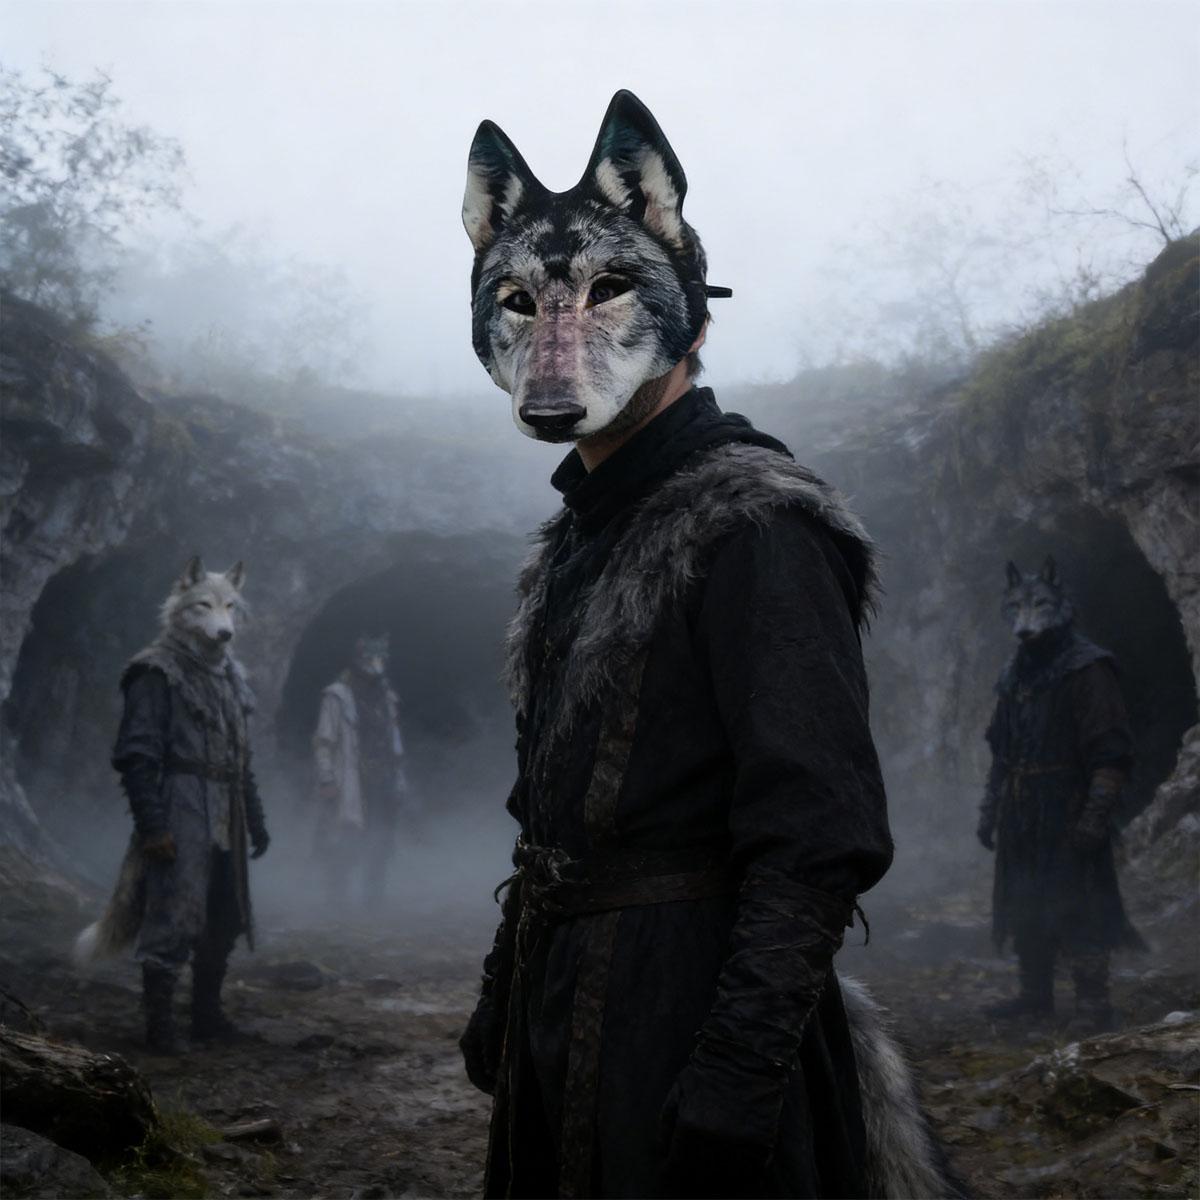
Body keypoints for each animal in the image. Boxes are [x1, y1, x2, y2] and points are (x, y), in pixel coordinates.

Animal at [75, 556, 270, 1053]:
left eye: (230, 605)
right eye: (202, 604)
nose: (226, 635)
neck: (204, 664)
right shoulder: (147, 687)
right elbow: (138, 751)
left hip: (225, 876)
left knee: (218, 935)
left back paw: (209, 1023)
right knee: (166, 946)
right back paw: (164, 1036)